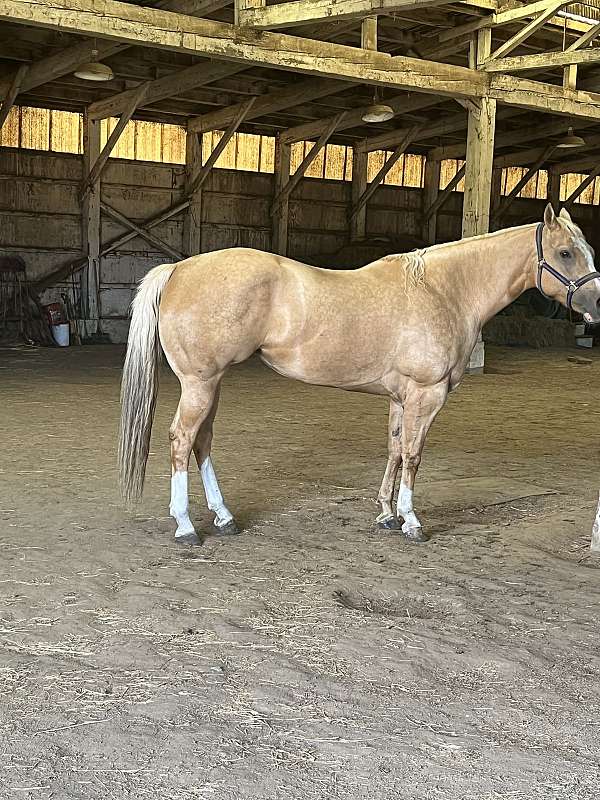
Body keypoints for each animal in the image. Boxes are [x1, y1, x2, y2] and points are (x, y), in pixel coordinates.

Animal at [117, 203, 600, 548]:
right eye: (565, 253)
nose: (597, 306)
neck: (445, 291)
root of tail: (178, 269)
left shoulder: (400, 398)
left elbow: (394, 451)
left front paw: (386, 513)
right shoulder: (427, 395)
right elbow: (413, 456)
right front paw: (411, 521)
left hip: (211, 384)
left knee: (202, 442)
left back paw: (225, 518)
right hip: (200, 384)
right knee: (182, 440)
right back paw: (185, 526)